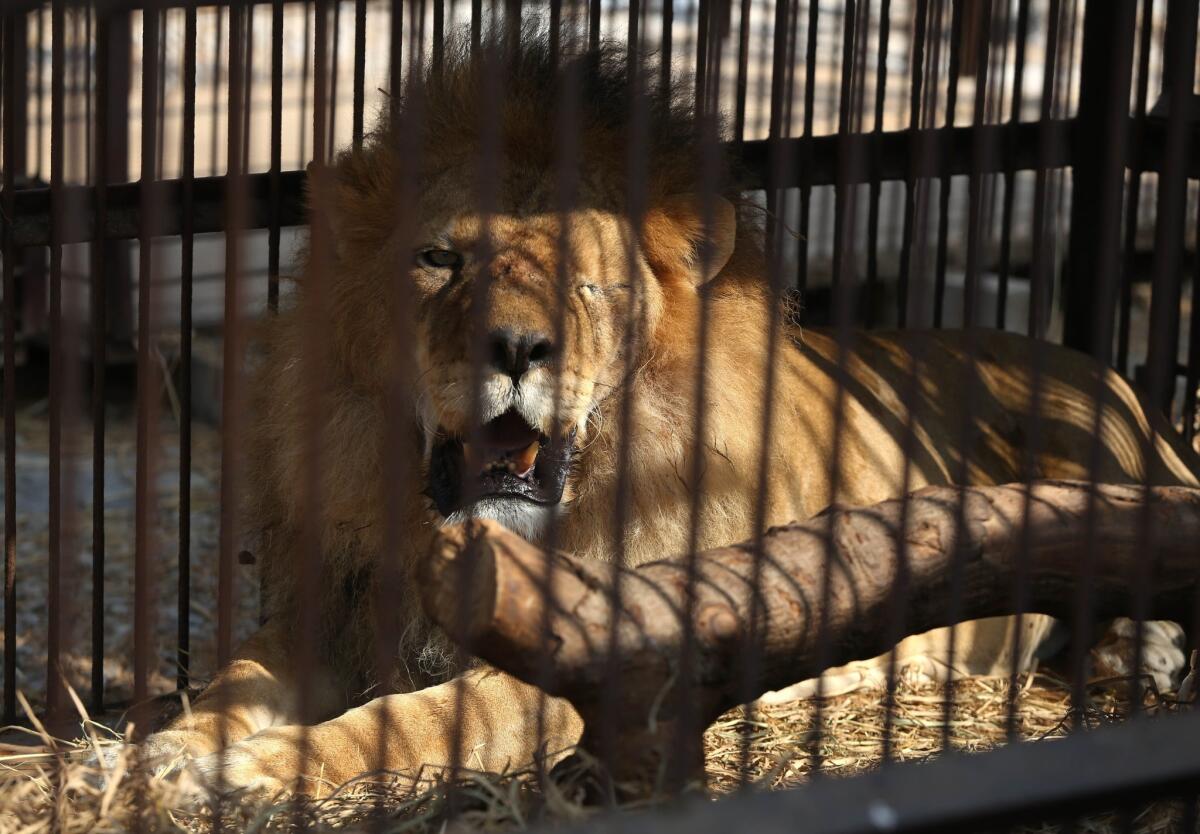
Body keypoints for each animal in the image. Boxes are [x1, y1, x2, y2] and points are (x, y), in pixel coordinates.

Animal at [138, 37, 1200, 796]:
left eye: (587, 277)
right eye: (439, 259)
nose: (514, 346)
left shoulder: (596, 666)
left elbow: (411, 719)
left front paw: (256, 771)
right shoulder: (336, 611)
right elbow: (234, 679)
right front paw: (166, 753)